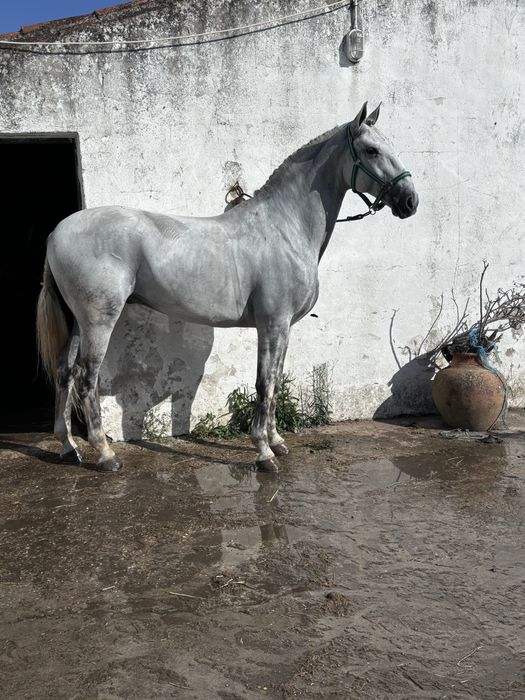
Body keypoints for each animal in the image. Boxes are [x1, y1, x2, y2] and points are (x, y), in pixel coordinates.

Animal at [36, 101, 418, 472]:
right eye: (371, 150)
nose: (410, 201)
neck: (284, 228)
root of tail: (56, 233)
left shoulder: (284, 327)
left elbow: (276, 380)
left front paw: (277, 442)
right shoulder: (272, 324)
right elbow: (265, 383)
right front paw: (263, 453)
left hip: (78, 323)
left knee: (65, 373)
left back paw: (69, 448)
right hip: (99, 321)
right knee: (86, 379)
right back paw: (104, 455)